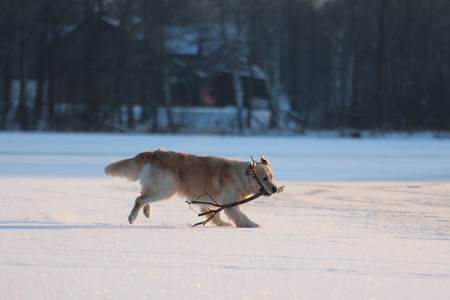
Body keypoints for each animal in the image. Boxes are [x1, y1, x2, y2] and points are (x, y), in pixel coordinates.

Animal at [105, 149, 278, 229]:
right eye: (264, 179)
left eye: (272, 178)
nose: (276, 189)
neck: (239, 176)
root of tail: (155, 153)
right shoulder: (230, 202)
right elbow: (240, 215)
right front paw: (252, 224)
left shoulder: (209, 201)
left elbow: (214, 214)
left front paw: (222, 224)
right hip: (167, 188)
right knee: (139, 199)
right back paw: (132, 217)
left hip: (160, 187)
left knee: (143, 194)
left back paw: (147, 211)